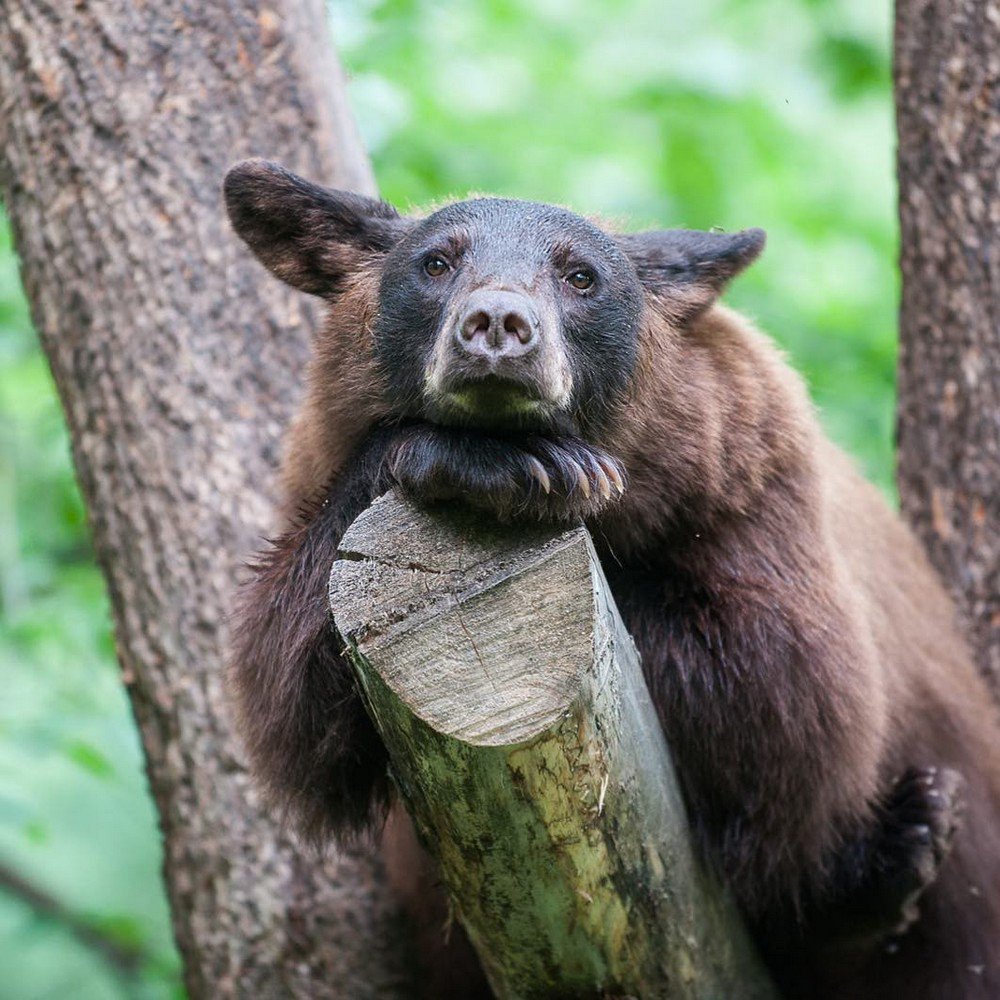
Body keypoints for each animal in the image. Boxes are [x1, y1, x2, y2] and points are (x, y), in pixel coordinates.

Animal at [223, 160, 1000, 996]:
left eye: (580, 275)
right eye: (436, 262)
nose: (497, 323)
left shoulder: (753, 480)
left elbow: (790, 686)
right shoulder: (313, 471)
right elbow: (287, 701)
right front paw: (495, 461)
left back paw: (896, 856)